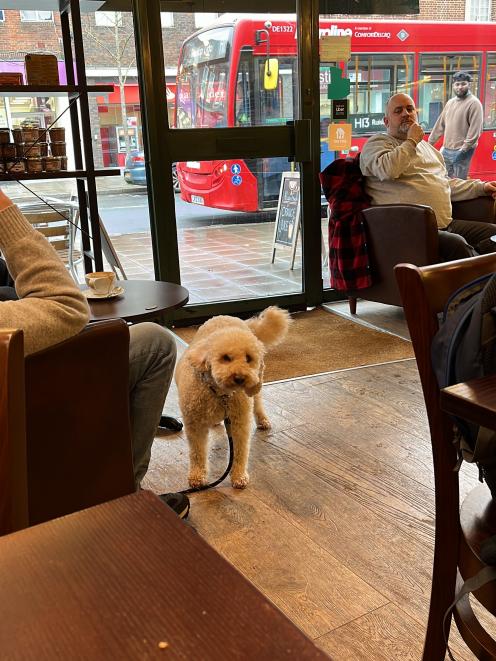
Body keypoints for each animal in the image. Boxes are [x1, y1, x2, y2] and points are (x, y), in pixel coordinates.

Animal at [175, 306, 290, 488]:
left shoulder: (239, 423)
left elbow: (241, 451)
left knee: (257, 403)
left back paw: (263, 420)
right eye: (226, 358)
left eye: (248, 358)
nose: (240, 378)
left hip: (256, 387)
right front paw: (197, 476)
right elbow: (197, 452)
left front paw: (239, 476)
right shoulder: (194, 425)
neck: (221, 395)